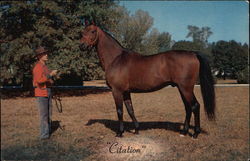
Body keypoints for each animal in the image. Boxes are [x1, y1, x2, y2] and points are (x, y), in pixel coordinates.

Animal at [80, 24, 215, 138]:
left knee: (195, 106)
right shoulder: (126, 92)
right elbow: (130, 110)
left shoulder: (117, 91)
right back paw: (184, 131)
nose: (82, 46)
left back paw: (195, 133)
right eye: (83, 32)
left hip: (186, 88)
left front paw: (120, 133)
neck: (116, 59)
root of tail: (192, 53)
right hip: (181, 88)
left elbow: (120, 111)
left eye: (92, 31)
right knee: (188, 108)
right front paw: (136, 130)